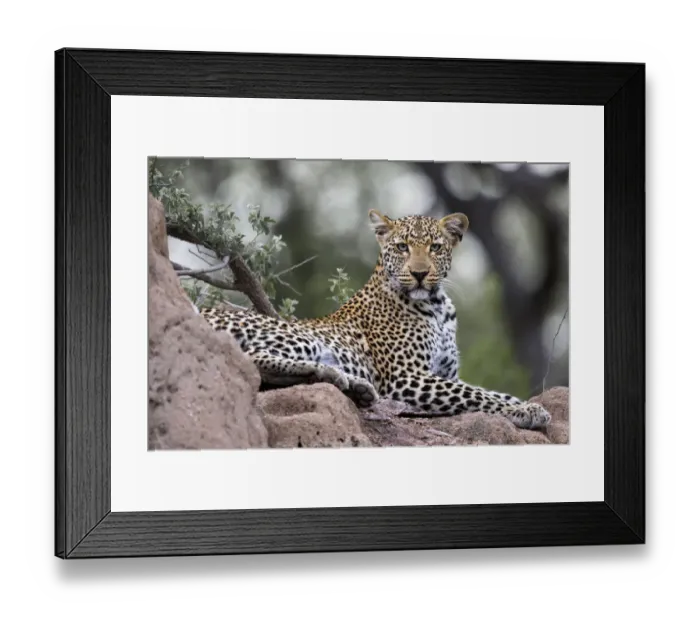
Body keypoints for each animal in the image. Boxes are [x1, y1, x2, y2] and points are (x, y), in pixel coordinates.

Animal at [199, 209, 551, 430]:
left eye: (436, 247)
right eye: (402, 246)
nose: (420, 273)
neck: (437, 307)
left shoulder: (446, 374)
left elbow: (494, 392)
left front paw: (530, 405)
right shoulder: (407, 377)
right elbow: (478, 395)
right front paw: (524, 411)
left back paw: (356, 386)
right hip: (296, 335)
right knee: (250, 360)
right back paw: (333, 374)